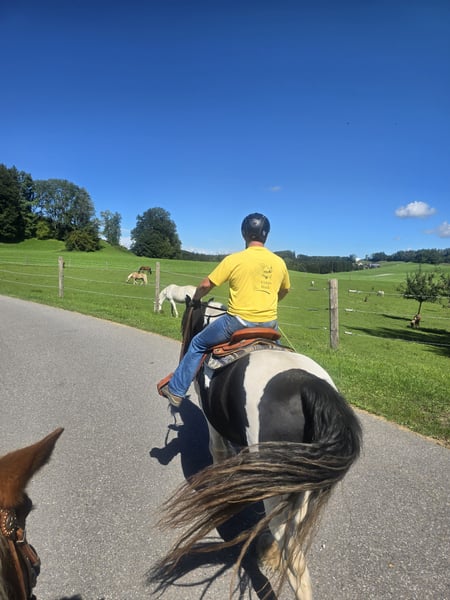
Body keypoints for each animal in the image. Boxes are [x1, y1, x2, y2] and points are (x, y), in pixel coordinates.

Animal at [155, 299, 362, 599]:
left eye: (185, 321)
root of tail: (309, 388)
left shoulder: (213, 425)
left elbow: (218, 454)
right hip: (303, 482)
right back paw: (268, 549)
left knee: (294, 560)